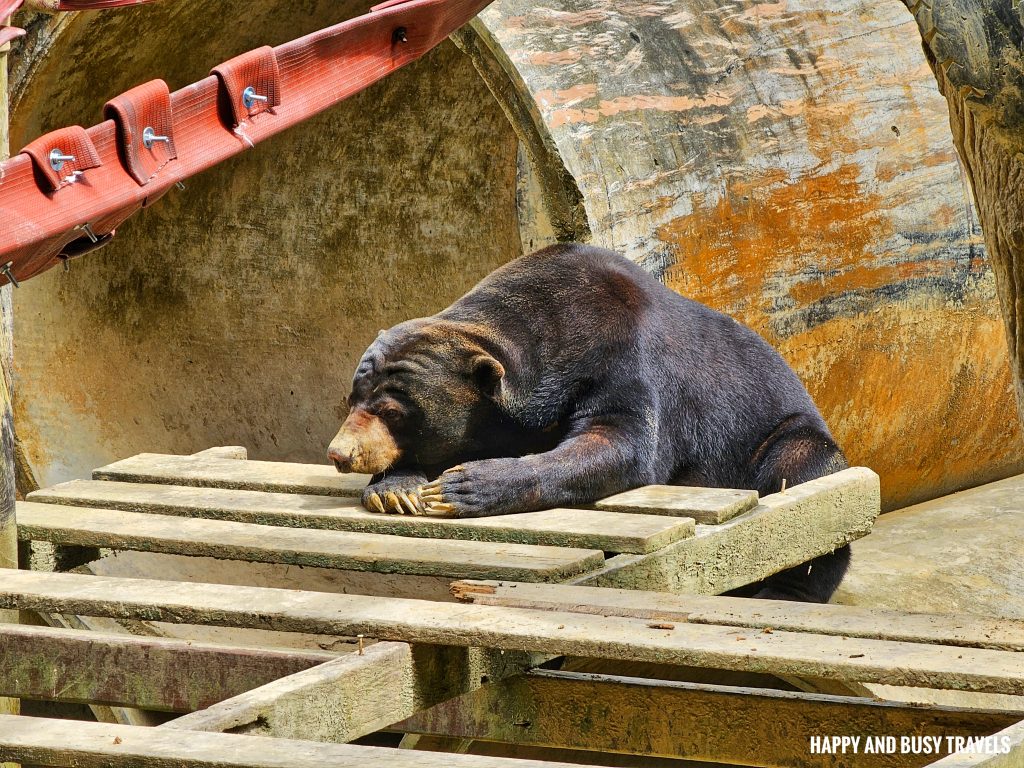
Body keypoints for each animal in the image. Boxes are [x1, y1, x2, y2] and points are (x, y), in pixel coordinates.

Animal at [327, 243, 847, 606]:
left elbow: (621, 441)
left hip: (782, 435)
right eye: (352, 399)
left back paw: (784, 590)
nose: (340, 453)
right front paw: (396, 489)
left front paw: (466, 486)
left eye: (394, 412)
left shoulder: (627, 359)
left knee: (803, 482)